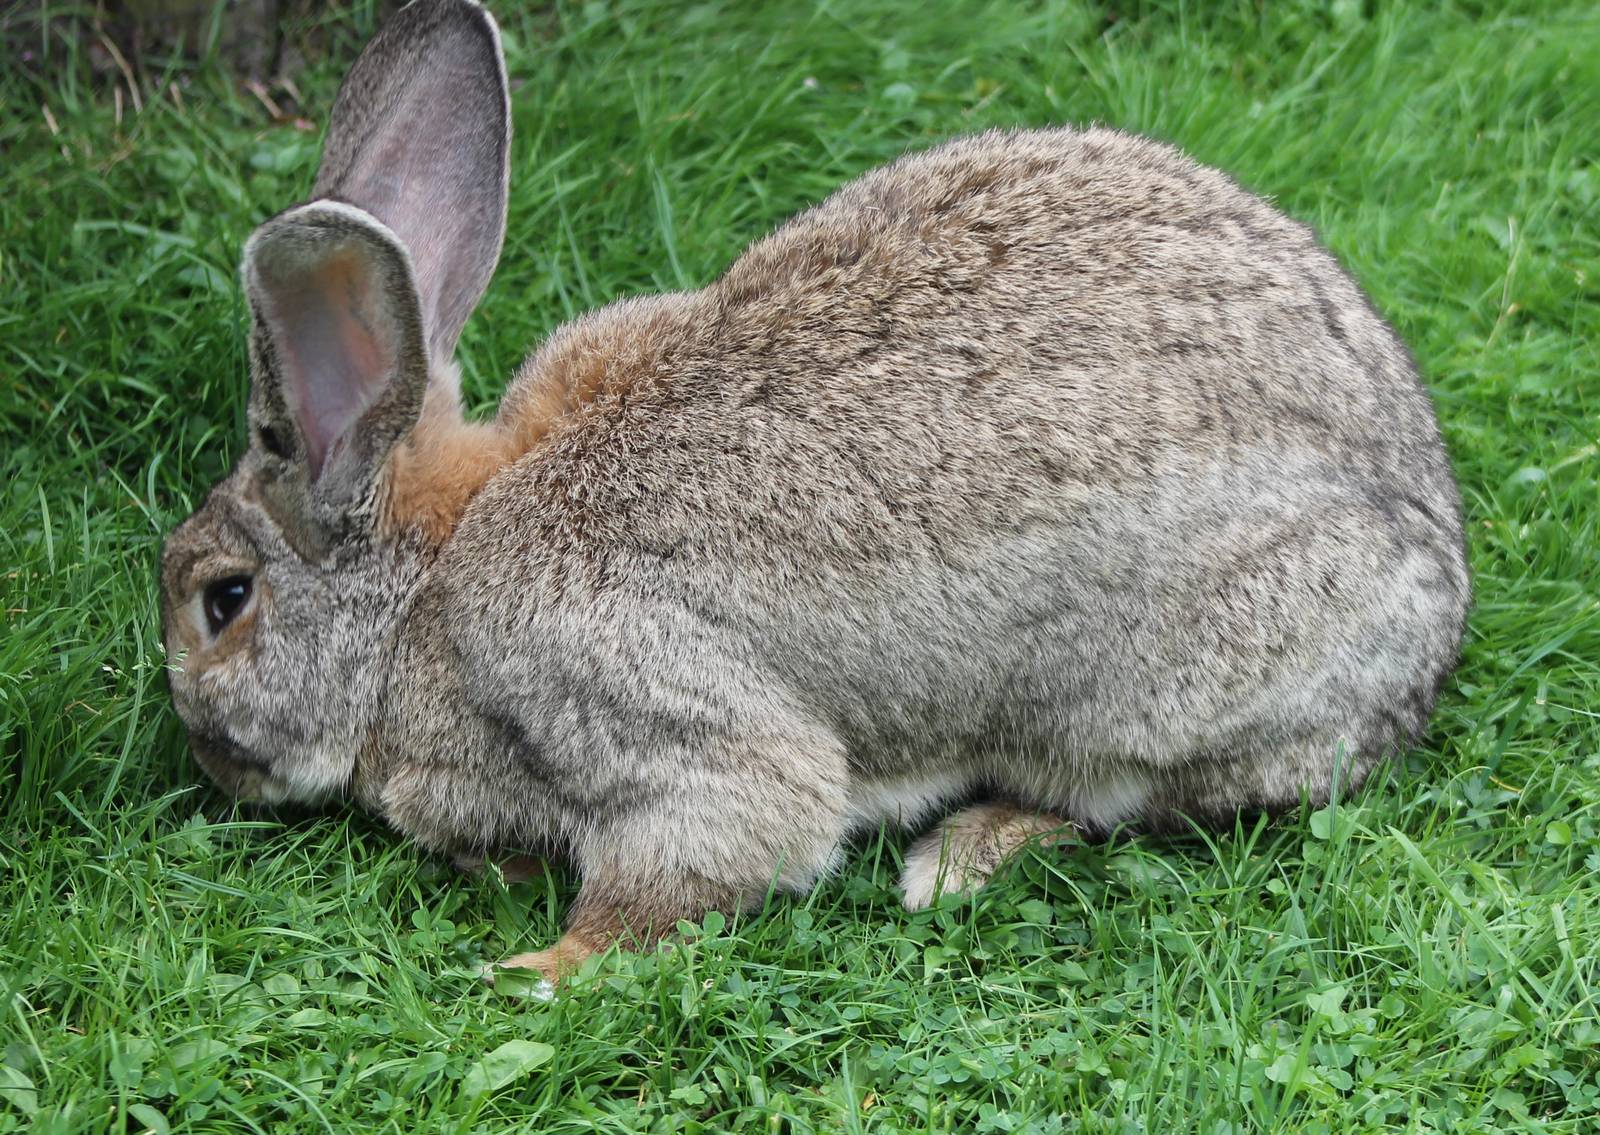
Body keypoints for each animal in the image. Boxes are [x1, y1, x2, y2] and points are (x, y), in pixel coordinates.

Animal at [160, 0, 1469, 984]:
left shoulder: (634, 704)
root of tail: (1438, 588)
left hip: (1156, 692)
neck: (420, 588)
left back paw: (962, 853)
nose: (203, 756)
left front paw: (529, 971)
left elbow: (715, 848)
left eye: (224, 601)